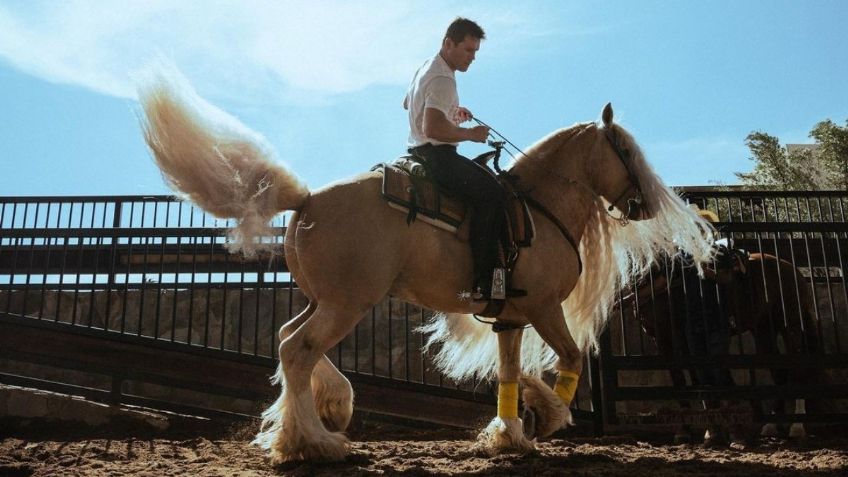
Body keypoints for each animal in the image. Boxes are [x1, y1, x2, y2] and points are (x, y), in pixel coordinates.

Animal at [137, 69, 716, 462]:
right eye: (625, 149)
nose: (644, 203)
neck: (540, 206)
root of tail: (306, 200)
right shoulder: (545, 308)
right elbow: (571, 357)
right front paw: (550, 418)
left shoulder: (510, 317)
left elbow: (509, 372)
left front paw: (510, 433)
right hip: (348, 303)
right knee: (298, 349)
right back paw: (315, 442)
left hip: (327, 299)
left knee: (285, 339)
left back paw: (328, 413)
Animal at [624, 249, 820, 442]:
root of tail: (793, 270)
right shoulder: (662, 339)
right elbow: (680, 381)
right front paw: (686, 429)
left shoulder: (681, 338)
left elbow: (698, 381)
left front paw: (707, 429)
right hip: (764, 331)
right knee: (779, 374)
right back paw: (771, 426)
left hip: (791, 327)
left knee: (797, 372)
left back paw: (797, 427)